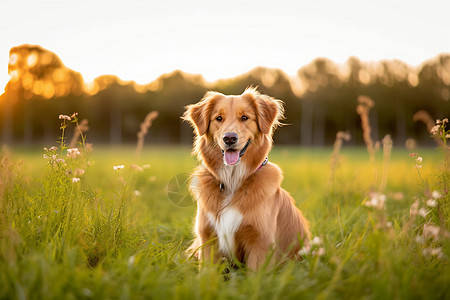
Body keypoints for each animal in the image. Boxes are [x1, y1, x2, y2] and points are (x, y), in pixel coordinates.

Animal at [183, 87, 310, 272]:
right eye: (219, 118)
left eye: (244, 117)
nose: (229, 138)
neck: (232, 182)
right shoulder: (208, 239)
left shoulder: (260, 243)